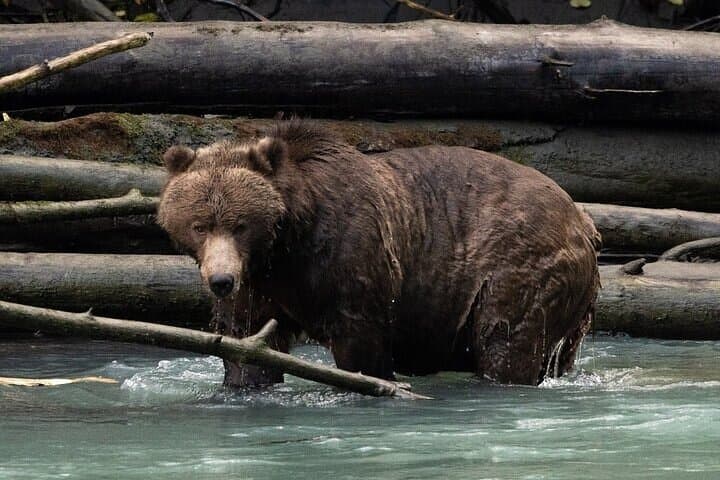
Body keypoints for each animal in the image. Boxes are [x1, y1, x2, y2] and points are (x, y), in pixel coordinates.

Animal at [157, 120, 600, 387]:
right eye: (200, 225)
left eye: (240, 224)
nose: (220, 280)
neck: (286, 243)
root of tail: (582, 219)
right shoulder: (260, 281)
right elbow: (246, 338)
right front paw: (244, 381)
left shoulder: (349, 254)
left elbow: (360, 339)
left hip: (517, 263)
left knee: (506, 339)